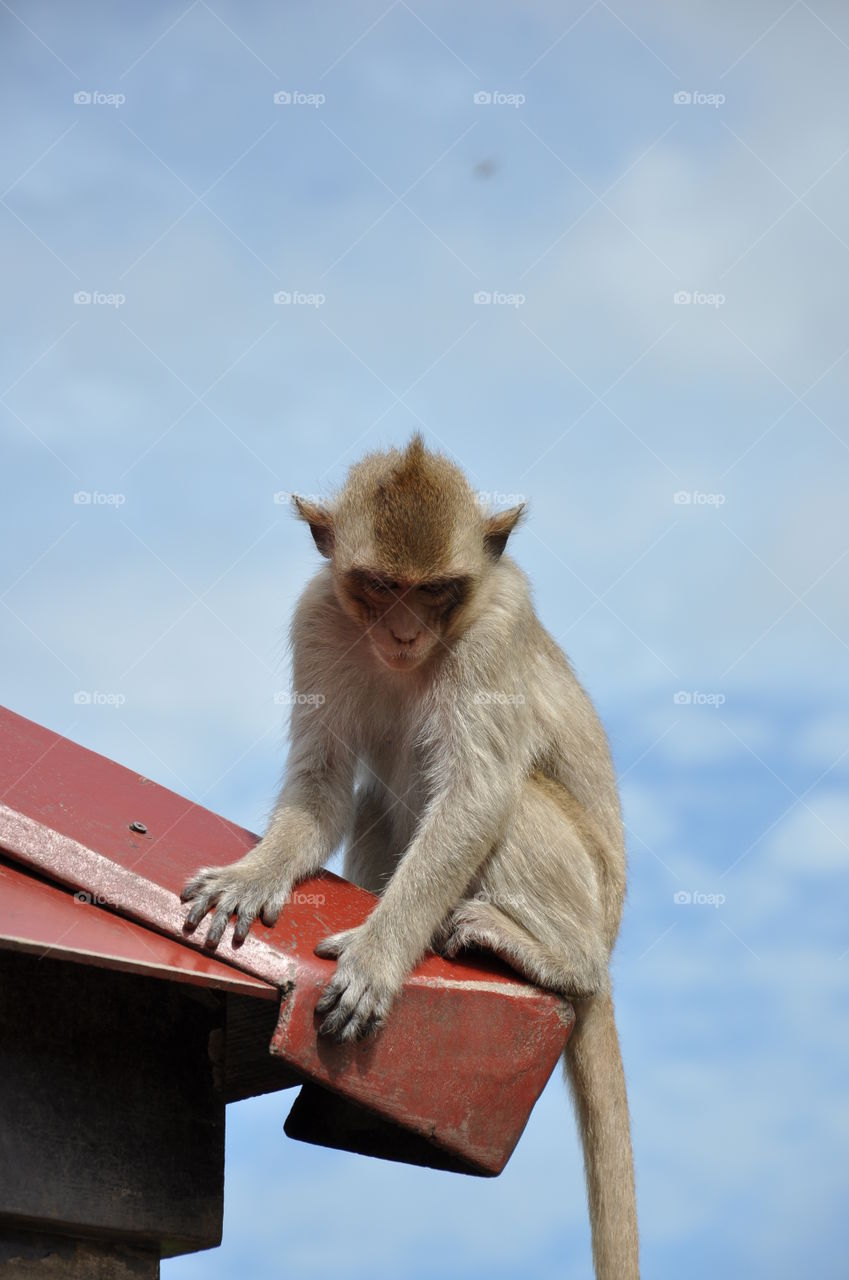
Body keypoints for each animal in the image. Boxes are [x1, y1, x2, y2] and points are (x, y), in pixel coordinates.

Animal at [181, 433, 639, 1280]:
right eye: (382, 587)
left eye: (435, 592)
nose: (401, 634)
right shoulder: (319, 617)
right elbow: (324, 783)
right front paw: (255, 875)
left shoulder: (494, 630)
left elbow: (477, 796)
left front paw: (378, 957)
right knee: (371, 799)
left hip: (590, 900)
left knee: (514, 798)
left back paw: (557, 958)